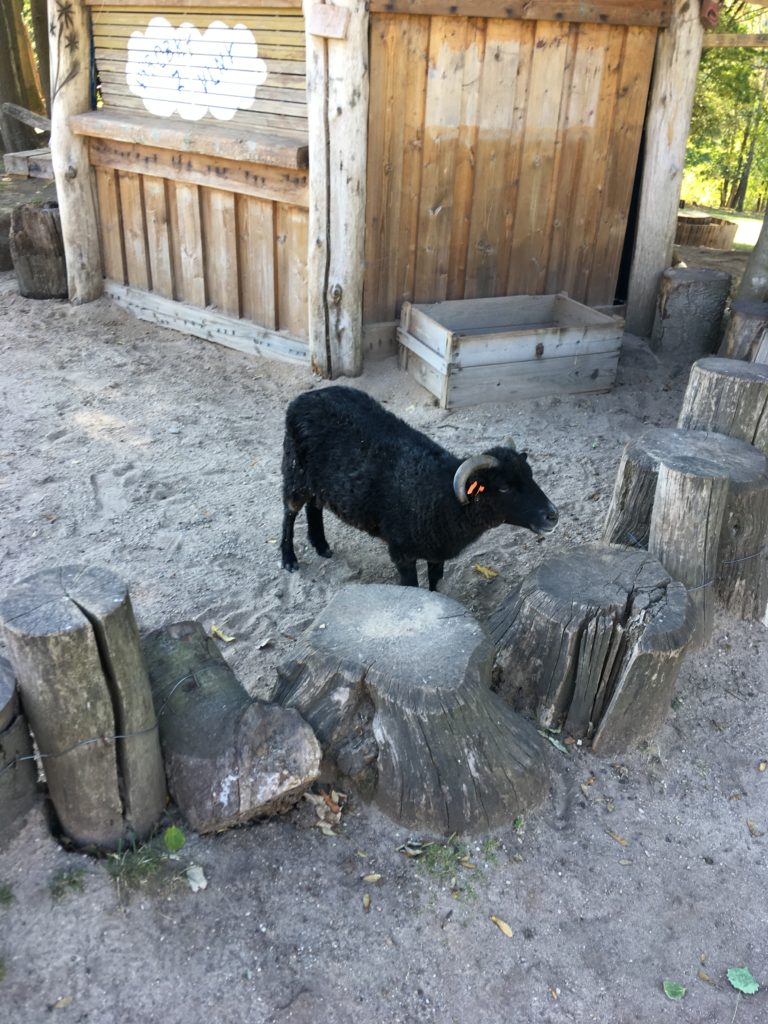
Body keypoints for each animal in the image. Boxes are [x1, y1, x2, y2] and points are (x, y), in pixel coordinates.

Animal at [282, 385, 561, 593]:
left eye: (531, 475)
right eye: (503, 488)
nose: (552, 515)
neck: (440, 497)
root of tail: (306, 396)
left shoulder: (437, 552)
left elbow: (435, 584)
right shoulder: (401, 553)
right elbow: (412, 587)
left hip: (318, 480)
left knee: (314, 505)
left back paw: (321, 545)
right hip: (295, 471)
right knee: (290, 512)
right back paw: (288, 559)